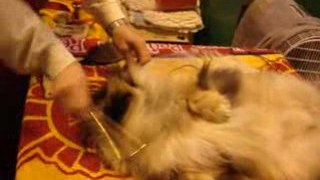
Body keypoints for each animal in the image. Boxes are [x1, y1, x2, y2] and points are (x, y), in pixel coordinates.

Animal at [84, 55, 320, 179]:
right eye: (108, 100)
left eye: (117, 97)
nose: (105, 106)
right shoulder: (199, 166)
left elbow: (191, 93)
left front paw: (218, 110)